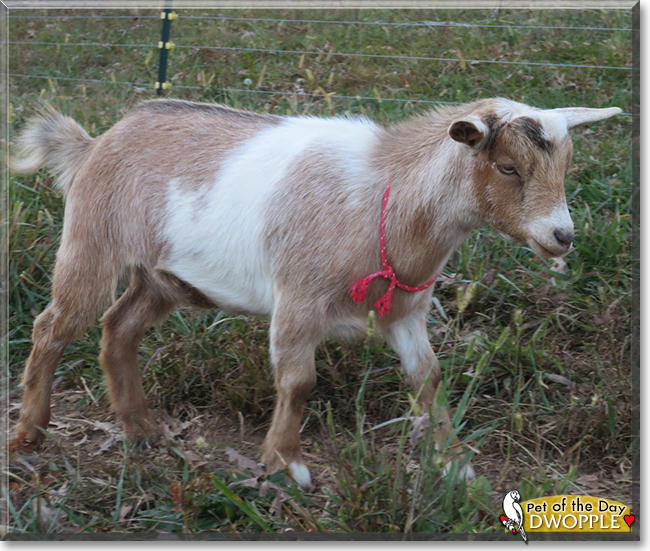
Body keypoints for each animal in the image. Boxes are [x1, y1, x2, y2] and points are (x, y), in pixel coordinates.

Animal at [10, 97, 616, 490]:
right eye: (508, 167)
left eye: (565, 165)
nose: (562, 236)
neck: (384, 196)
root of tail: (95, 143)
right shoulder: (298, 299)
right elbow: (299, 382)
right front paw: (286, 464)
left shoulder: (407, 312)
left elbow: (429, 379)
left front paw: (455, 463)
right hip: (91, 244)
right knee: (53, 326)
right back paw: (28, 434)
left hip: (163, 277)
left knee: (119, 327)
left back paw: (142, 430)